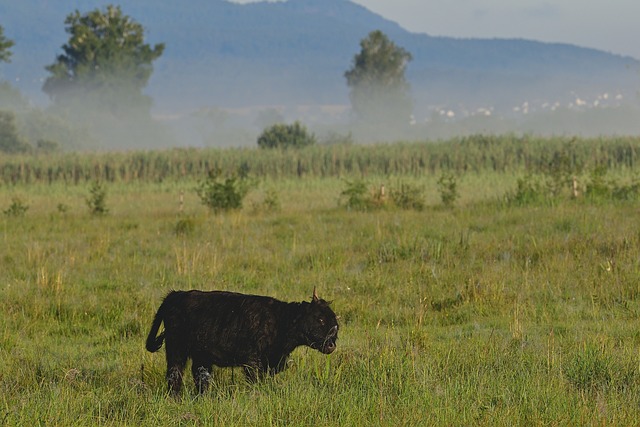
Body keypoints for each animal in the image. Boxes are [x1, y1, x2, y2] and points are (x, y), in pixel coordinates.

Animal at [143, 290, 338, 396]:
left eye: (334, 322)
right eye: (320, 319)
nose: (331, 345)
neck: (280, 319)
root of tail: (176, 295)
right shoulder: (252, 363)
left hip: (201, 357)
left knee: (200, 378)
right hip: (176, 350)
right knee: (174, 375)